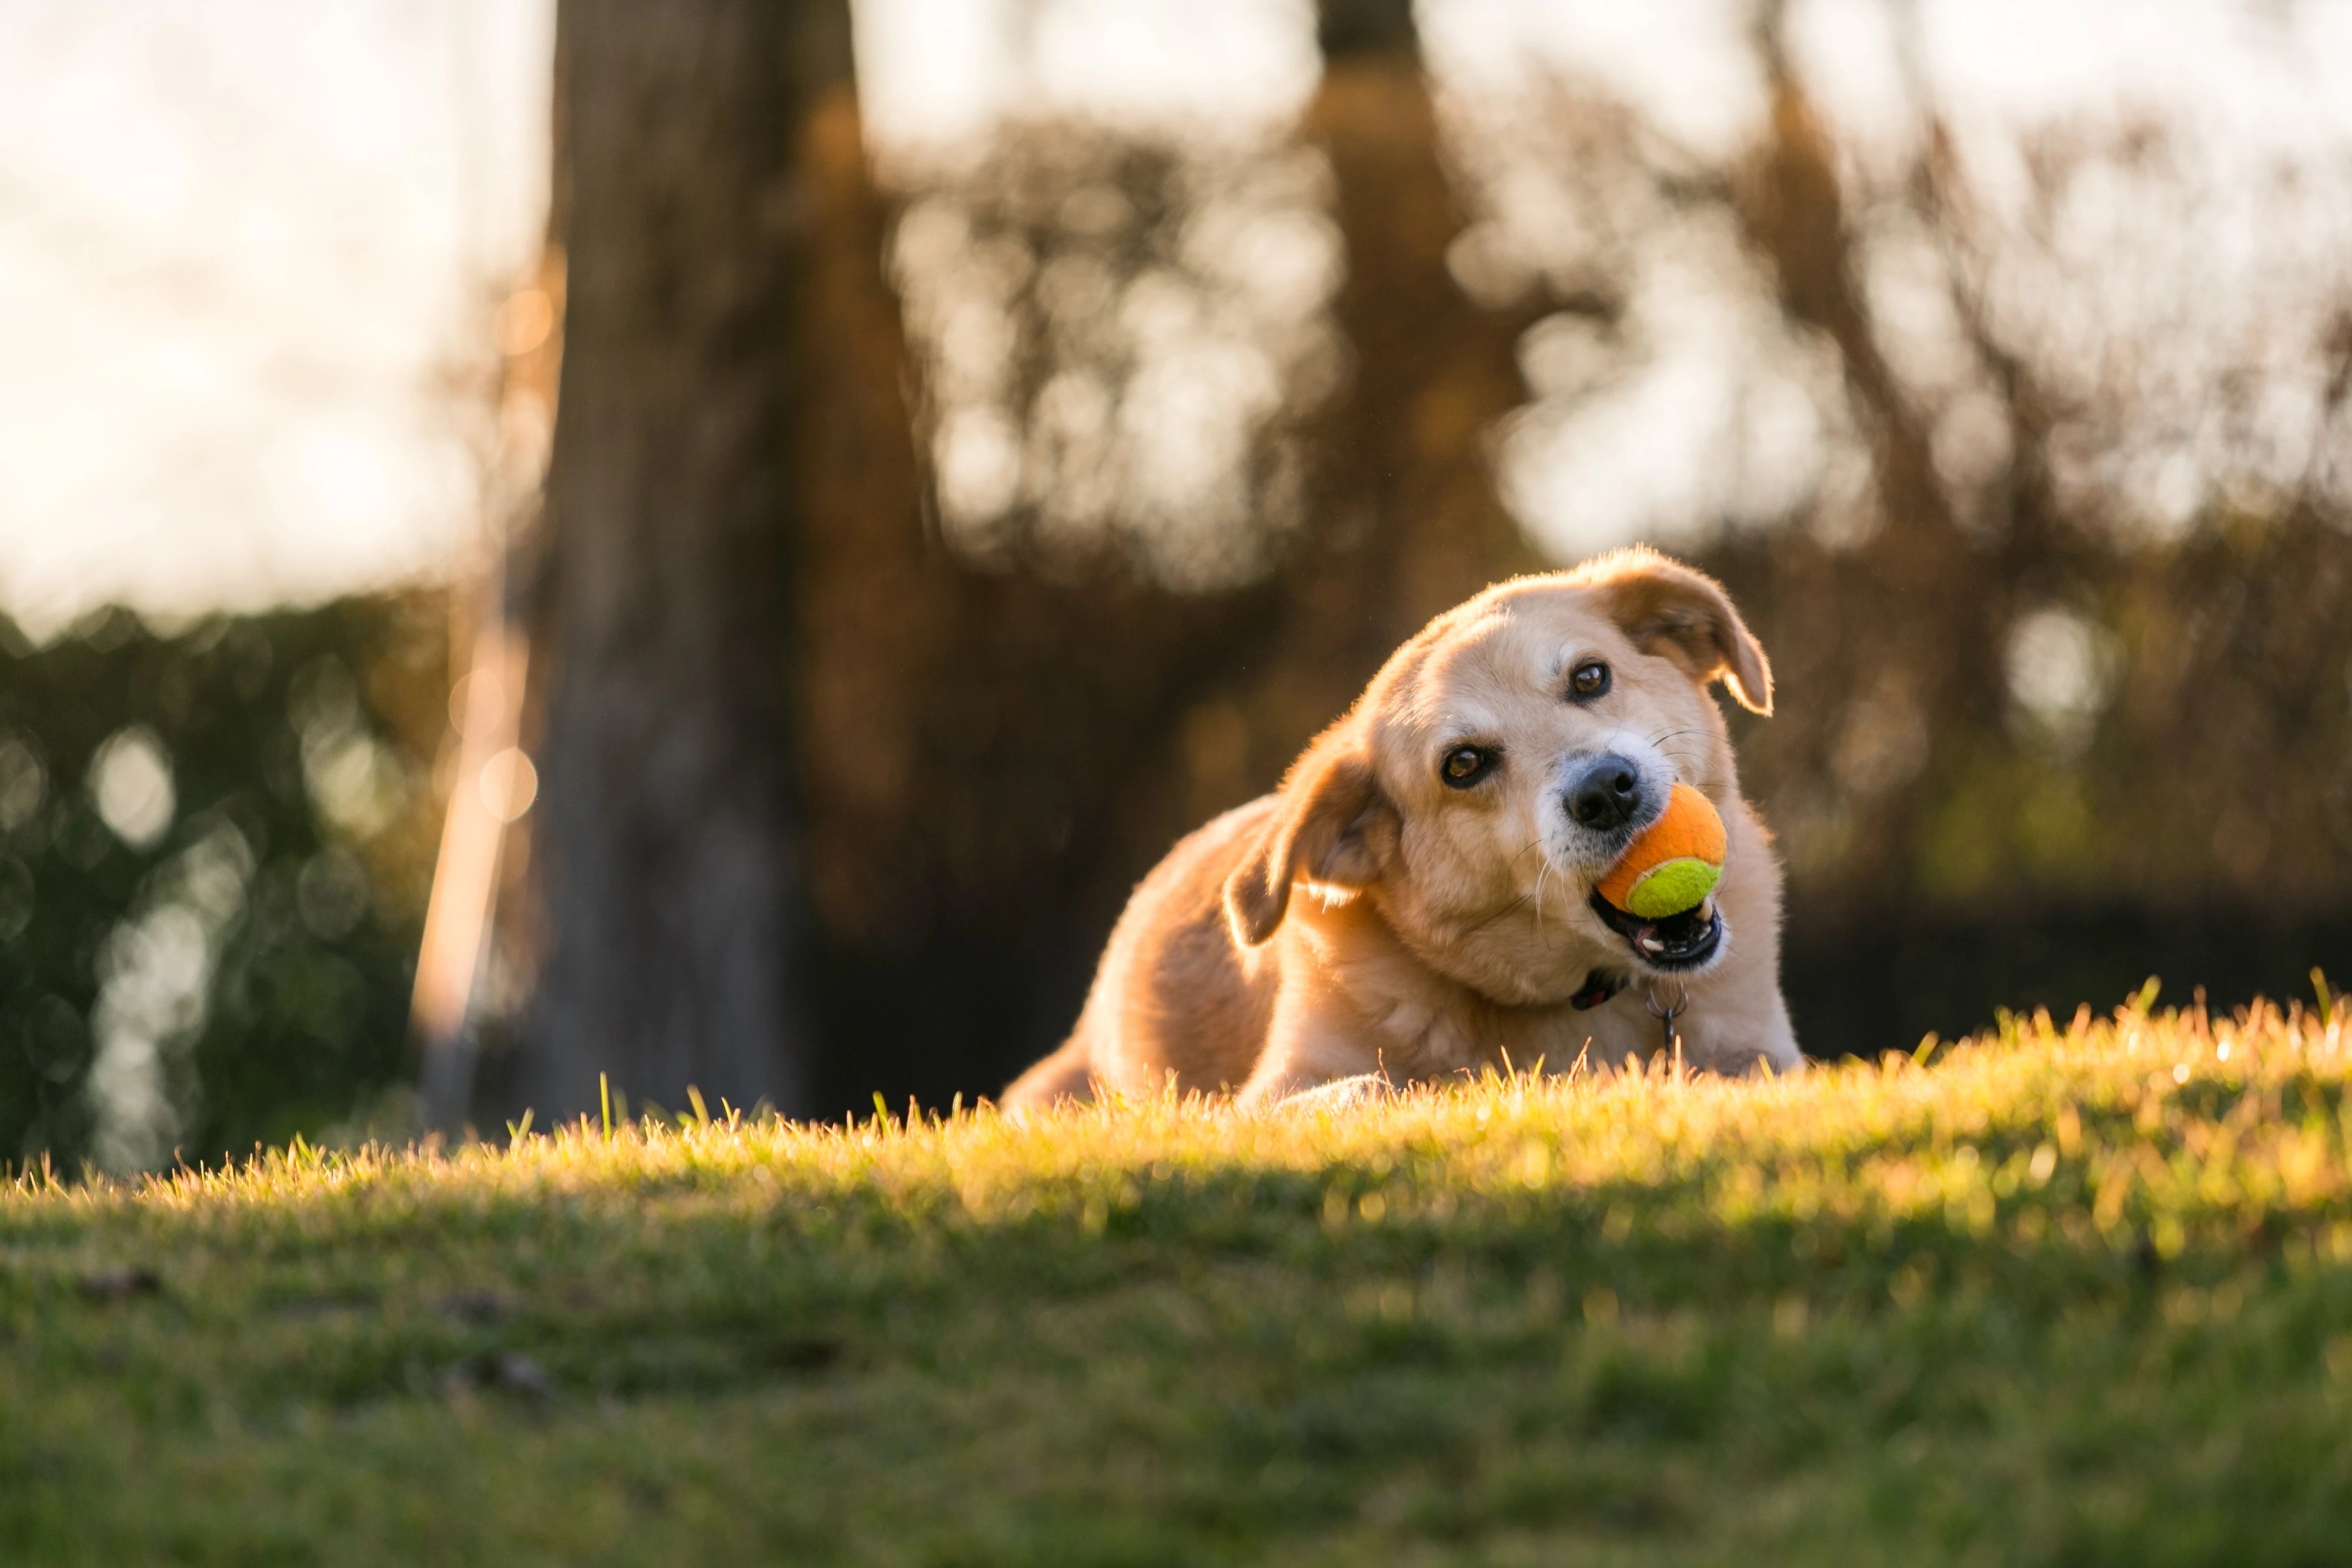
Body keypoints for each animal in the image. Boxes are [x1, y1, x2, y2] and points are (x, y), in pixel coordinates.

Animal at [997, 552, 1797, 1114]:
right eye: (1463, 765)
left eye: (1590, 678)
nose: (1604, 791)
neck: (1585, 999)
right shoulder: (1262, 1098)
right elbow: (1375, 1088)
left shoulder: (1767, 1057)